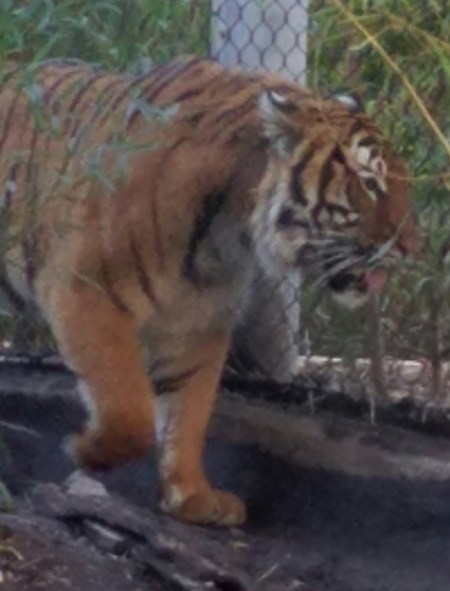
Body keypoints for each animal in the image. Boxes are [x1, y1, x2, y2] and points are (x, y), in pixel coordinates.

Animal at [0, 55, 417, 526]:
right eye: (369, 183)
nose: (413, 245)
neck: (231, 229)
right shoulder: (87, 291)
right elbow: (129, 411)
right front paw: (84, 452)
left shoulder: (196, 321)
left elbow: (188, 414)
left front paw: (193, 497)